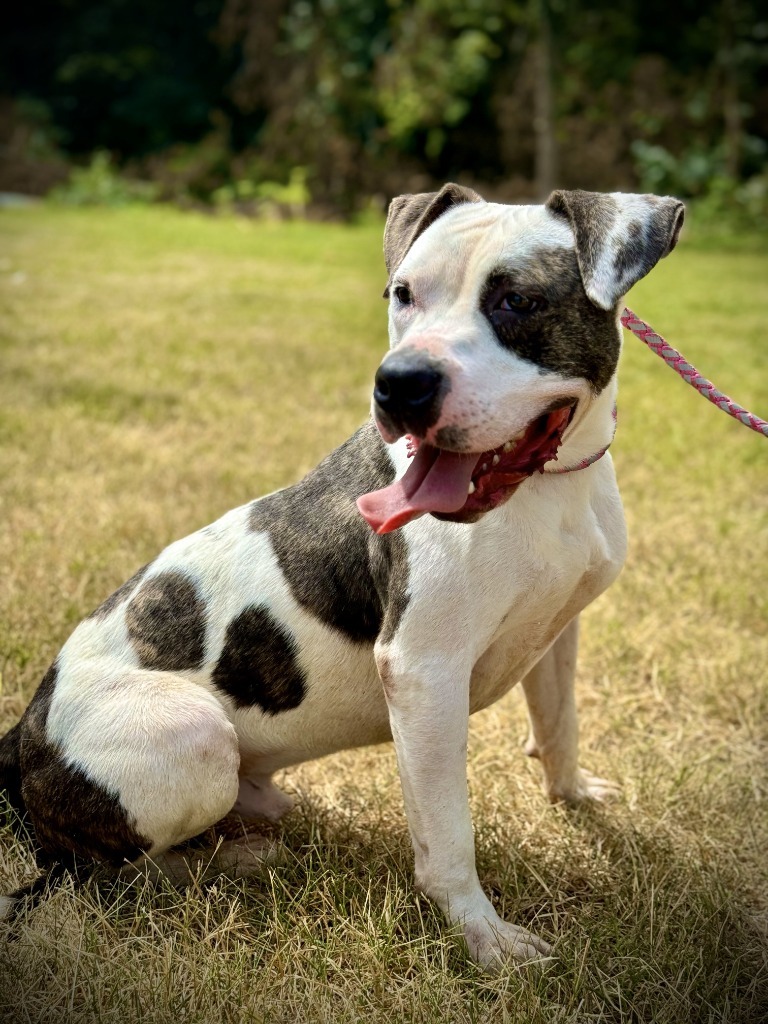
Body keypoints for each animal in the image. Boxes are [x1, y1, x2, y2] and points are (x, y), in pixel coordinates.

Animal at [0, 186, 684, 966]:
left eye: (518, 301)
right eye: (403, 293)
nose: (400, 384)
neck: (551, 486)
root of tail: (24, 732)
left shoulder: (558, 629)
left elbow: (560, 721)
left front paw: (573, 796)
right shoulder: (424, 671)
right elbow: (448, 833)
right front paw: (483, 935)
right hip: (191, 736)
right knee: (97, 871)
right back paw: (227, 861)